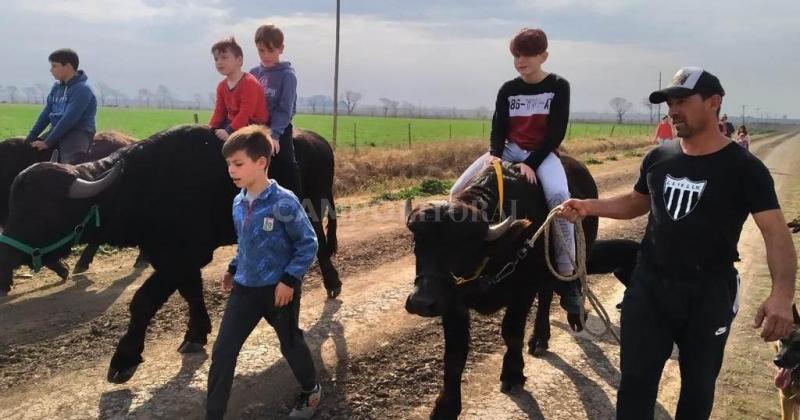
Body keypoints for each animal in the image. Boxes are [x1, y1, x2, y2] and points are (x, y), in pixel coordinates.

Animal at [406, 158, 600, 420]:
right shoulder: (452, 301)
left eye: (463, 246)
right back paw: (540, 337)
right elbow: (454, 353)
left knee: (551, 294)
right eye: (417, 242)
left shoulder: (523, 291)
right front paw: (446, 406)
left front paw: (513, 373)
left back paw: (555, 325)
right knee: (546, 294)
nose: (421, 302)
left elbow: (512, 332)